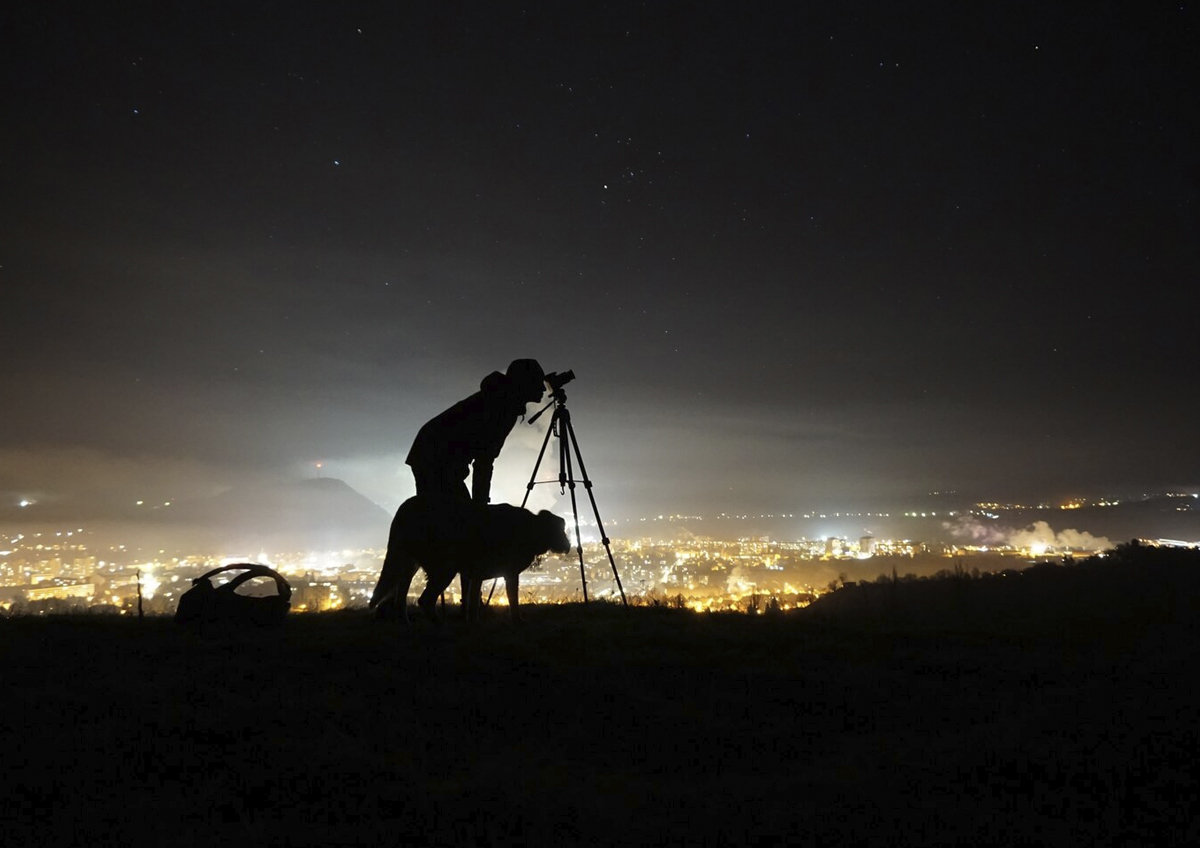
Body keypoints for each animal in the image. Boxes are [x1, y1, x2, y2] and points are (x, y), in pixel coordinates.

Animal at [364, 496, 571, 623]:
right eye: (561, 530)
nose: (569, 546)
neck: (531, 527)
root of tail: (405, 508)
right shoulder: (510, 573)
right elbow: (513, 600)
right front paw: (518, 621)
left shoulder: (476, 575)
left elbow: (472, 602)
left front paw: (472, 623)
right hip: (445, 568)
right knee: (425, 600)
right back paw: (439, 624)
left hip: (408, 563)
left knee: (401, 598)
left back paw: (406, 623)